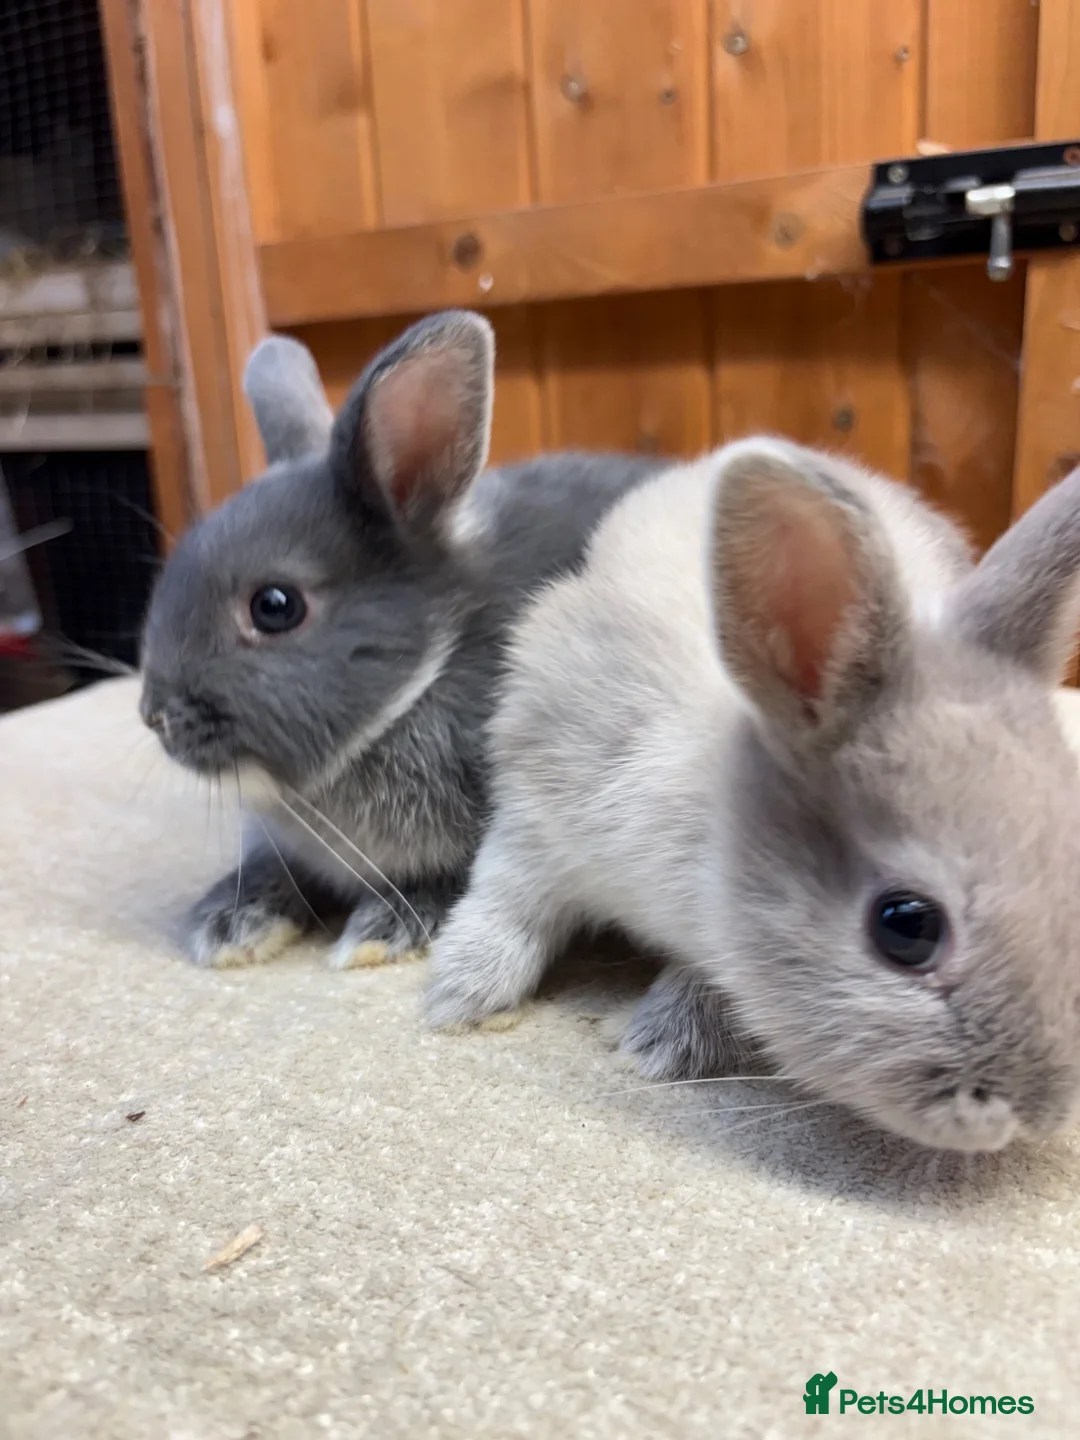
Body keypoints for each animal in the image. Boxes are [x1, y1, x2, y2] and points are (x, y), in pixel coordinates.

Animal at [425, 435, 1080, 1152]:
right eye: (906, 926)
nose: (1034, 1115)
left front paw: (655, 1042)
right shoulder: (538, 807)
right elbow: (508, 902)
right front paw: (455, 998)